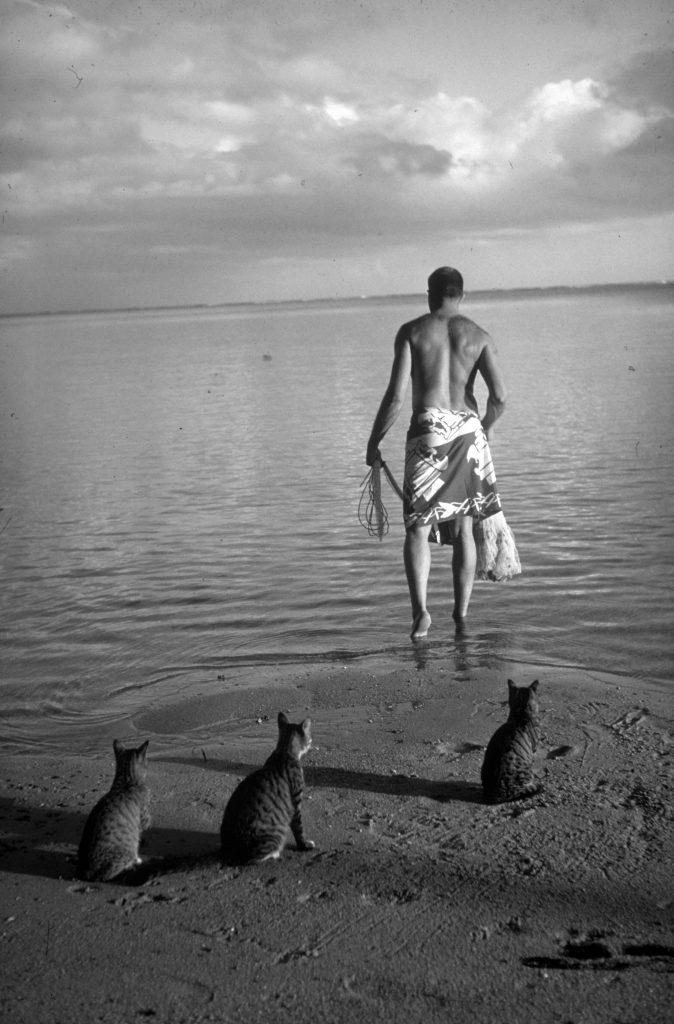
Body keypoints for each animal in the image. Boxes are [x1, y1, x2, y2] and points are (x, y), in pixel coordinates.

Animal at [220, 712, 315, 864]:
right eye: (309, 738)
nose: (311, 742)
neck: (283, 751)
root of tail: (229, 850)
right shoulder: (295, 803)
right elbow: (299, 828)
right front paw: (304, 845)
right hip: (274, 832)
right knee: (252, 859)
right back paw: (275, 853)